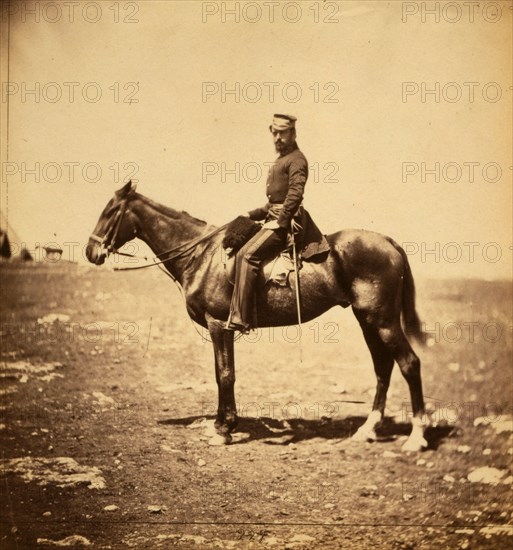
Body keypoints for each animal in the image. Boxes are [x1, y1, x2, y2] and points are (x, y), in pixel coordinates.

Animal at [87, 181, 428, 452]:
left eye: (110, 211)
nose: (92, 252)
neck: (203, 256)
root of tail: (388, 242)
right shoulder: (220, 328)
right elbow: (222, 373)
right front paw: (222, 424)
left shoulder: (219, 325)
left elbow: (225, 374)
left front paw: (224, 429)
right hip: (367, 320)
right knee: (383, 367)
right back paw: (368, 429)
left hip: (382, 321)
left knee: (409, 364)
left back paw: (417, 437)